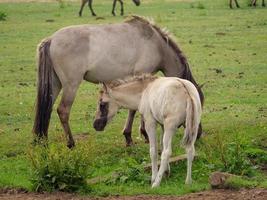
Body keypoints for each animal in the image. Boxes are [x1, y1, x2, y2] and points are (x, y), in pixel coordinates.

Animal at [33, 15, 205, 148]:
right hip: (71, 85)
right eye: (196, 106)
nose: (198, 134)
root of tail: (51, 40)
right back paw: (71, 143)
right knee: (63, 110)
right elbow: (135, 109)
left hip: (55, 84)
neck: (155, 44)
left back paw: (42, 141)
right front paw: (137, 136)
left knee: (46, 109)